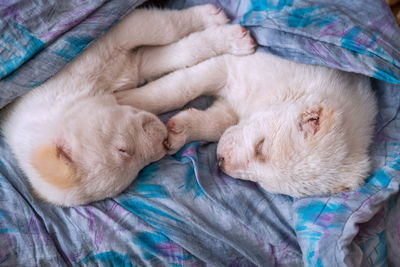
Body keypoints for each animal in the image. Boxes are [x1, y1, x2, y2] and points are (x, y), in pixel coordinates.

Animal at [0, 5, 256, 207]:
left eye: (122, 149)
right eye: (136, 170)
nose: (163, 143)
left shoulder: (113, 35)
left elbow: (167, 28)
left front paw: (222, 28)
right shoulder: (135, 64)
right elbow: (173, 62)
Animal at [116, 52, 378, 198]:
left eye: (264, 185)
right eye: (261, 146)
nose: (221, 162)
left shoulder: (230, 106)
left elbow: (215, 124)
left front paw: (179, 131)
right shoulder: (229, 65)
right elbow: (179, 88)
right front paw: (124, 100)